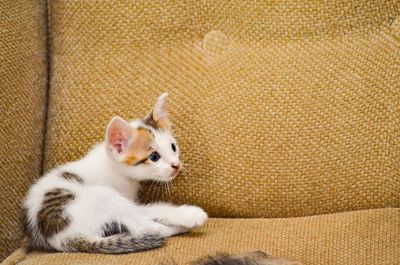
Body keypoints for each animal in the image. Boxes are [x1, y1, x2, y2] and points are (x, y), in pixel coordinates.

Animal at [21, 92, 209, 252]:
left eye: (173, 147)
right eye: (154, 157)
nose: (176, 165)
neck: (114, 168)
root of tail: (62, 238)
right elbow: (149, 210)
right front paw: (189, 214)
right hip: (100, 196)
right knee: (148, 226)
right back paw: (184, 223)